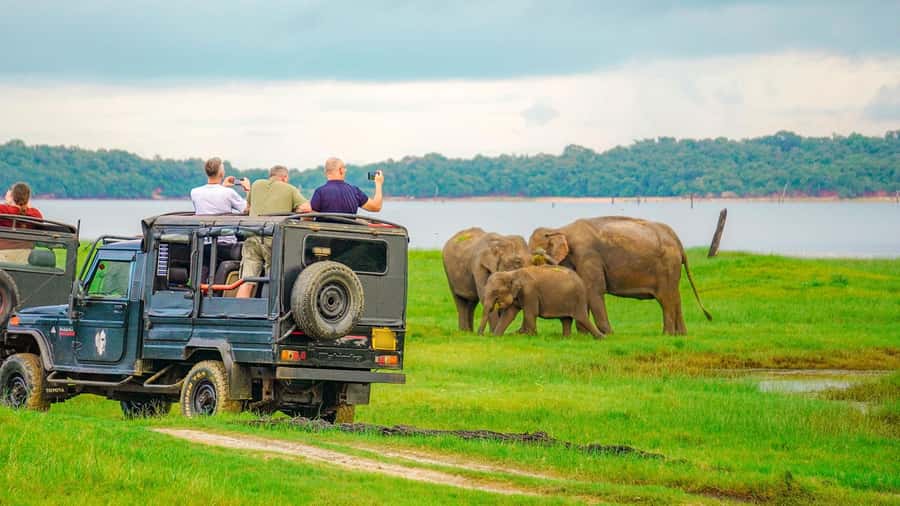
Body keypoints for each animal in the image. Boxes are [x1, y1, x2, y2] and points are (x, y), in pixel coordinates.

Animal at [528, 216, 711, 335]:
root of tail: (678, 242)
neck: (560, 229)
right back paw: (681, 334)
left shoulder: (588, 255)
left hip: (667, 266)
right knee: (675, 298)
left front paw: (608, 334)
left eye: (537, 256)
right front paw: (583, 335)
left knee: (665, 299)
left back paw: (667, 334)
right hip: (672, 269)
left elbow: (594, 291)